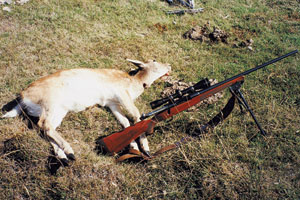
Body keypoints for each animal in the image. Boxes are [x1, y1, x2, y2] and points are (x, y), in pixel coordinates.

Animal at [1, 59, 171, 164]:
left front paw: (134, 147)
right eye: (154, 60)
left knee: (43, 128)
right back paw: (70, 151)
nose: (169, 66)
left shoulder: (112, 103)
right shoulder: (121, 94)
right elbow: (136, 116)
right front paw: (145, 148)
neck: (134, 84)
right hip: (52, 104)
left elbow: (125, 122)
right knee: (45, 125)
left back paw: (64, 157)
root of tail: (22, 97)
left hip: (58, 110)